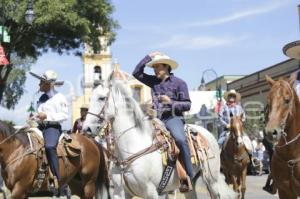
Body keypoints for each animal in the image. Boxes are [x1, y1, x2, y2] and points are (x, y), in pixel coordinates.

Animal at [82, 76, 237, 199]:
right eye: (90, 98)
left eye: (102, 98)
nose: (86, 128)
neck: (132, 147)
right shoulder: (120, 193)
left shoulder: (151, 192)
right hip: (191, 184)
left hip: (212, 180)